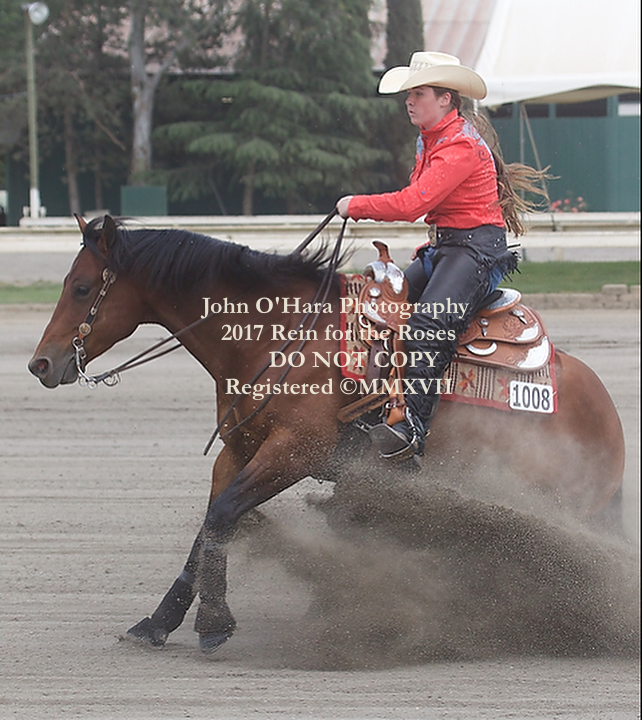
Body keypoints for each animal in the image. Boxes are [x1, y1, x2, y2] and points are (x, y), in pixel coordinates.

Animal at [28, 215, 625, 654]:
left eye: (81, 287)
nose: (41, 364)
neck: (277, 334)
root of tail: (607, 410)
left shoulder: (292, 453)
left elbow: (223, 515)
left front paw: (213, 623)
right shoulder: (238, 448)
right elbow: (209, 523)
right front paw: (158, 621)